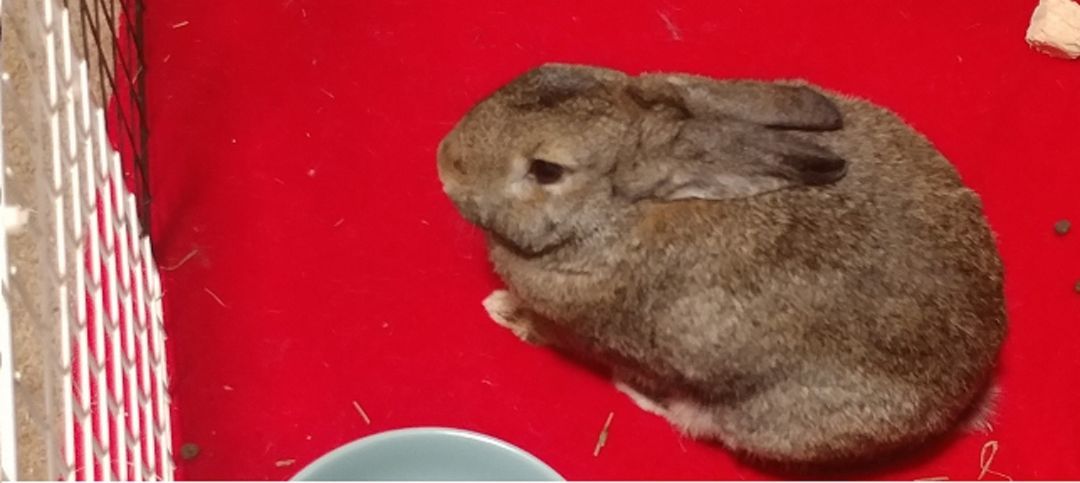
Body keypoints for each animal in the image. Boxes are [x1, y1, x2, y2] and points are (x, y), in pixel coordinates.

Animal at [436, 63, 1006, 467]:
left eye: (546, 170)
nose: (445, 163)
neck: (620, 214)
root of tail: (966, 396)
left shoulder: (586, 328)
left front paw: (504, 309)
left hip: (761, 417)